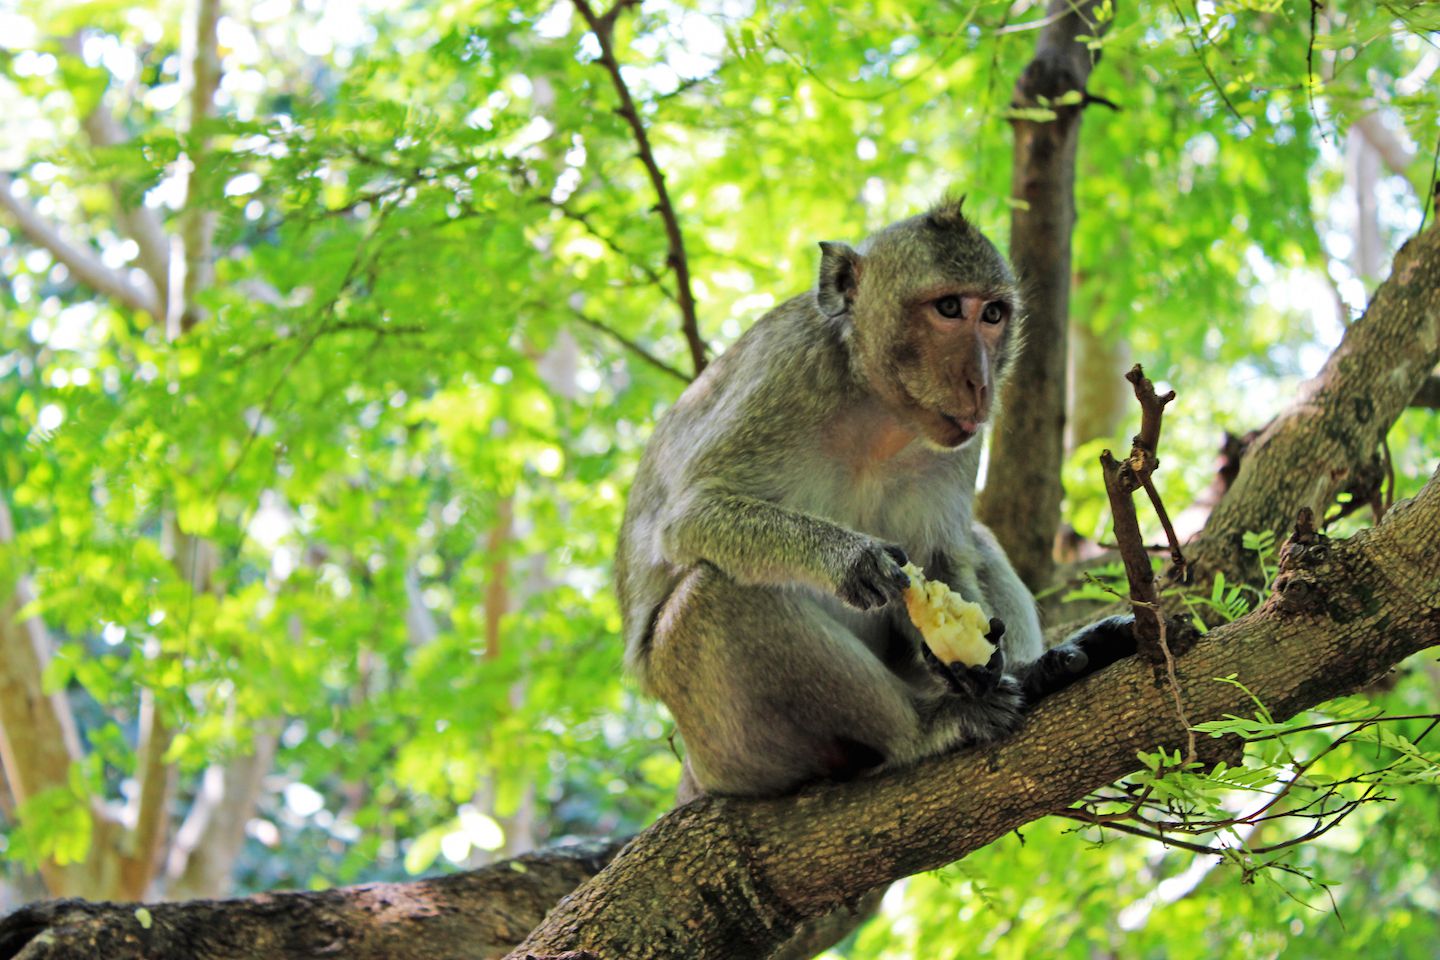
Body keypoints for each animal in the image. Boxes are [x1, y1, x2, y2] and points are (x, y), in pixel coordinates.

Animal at [616, 196, 1135, 799]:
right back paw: (925, 729)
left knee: (976, 538)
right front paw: (852, 558)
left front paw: (967, 654)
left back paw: (1036, 672)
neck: (878, 409)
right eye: (949, 307)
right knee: (709, 598)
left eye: (993, 315)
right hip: (734, 750)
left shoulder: (961, 444)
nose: (981, 384)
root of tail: (698, 771)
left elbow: (941, 553)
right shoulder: (784, 377)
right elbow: (689, 518)